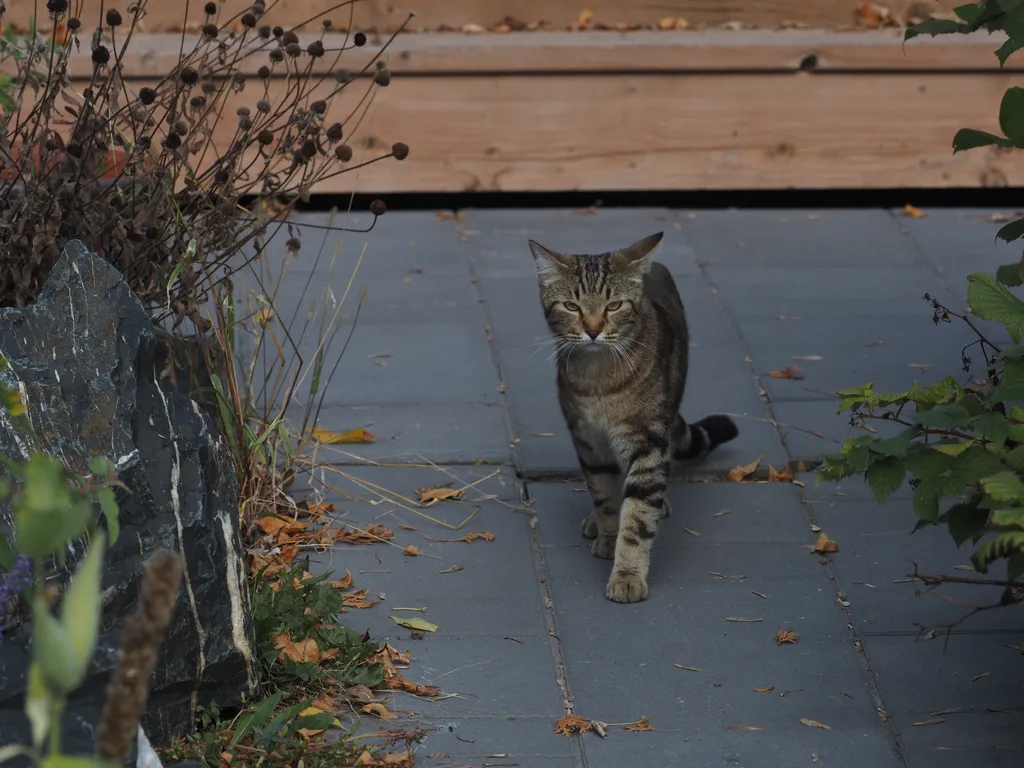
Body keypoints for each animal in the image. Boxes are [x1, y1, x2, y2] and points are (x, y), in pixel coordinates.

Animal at [532, 231, 741, 606]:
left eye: (614, 306)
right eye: (572, 306)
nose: (594, 330)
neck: (599, 380)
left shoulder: (646, 441)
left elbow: (638, 515)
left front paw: (627, 573)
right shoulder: (588, 441)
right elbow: (604, 495)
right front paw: (606, 534)